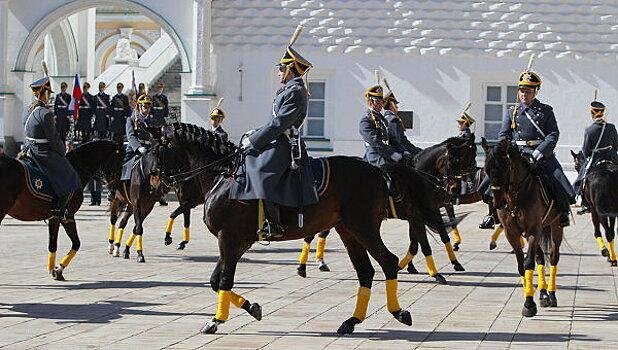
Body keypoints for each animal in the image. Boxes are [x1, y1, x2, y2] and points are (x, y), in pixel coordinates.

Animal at [0, 141, 124, 280]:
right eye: (120, 162)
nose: (114, 192)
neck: (76, 170)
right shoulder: (67, 217)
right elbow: (76, 243)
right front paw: (59, 269)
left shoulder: (55, 217)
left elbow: (53, 244)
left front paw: (53, 269)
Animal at [155, 122, 414, 334]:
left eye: (159, 147)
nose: (157, 180)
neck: (225, 177)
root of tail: (376, 171)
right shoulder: (237, 241)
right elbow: (215, 280)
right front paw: (251, 308)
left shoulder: (228, 237)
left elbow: (224, 280)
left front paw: (216, 320)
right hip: (348, 231)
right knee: (366, 272)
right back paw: (351, 321)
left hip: (363, 227)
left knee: (388, 262)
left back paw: (398, 312)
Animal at [482, 137, 564, 318]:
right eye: (486, 170)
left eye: (505, 168)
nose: (498, 203)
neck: (515, 197)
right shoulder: (511, 233)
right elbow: (521, 265)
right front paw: (530, 298)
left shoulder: (533, 229)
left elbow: (528, 263)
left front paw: (529, 304)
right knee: (540, 257)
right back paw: (543, 294)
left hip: (555, 227)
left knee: (553, 257)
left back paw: (552, 294)